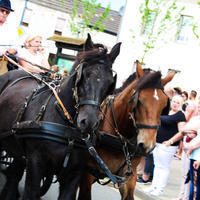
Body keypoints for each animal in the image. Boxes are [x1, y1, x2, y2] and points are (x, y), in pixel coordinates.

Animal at [0, 34, 121, 200]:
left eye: (110, 82)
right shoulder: (35, 164)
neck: (68, 131)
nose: (89, 122)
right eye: (84, 75)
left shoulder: (74, 174)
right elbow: (31, 193)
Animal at [77, 61, 176, 200]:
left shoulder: (129, 178)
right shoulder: (87, 173)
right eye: (139, 100)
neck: (121, 139)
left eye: (164, 104)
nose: (147, 145)